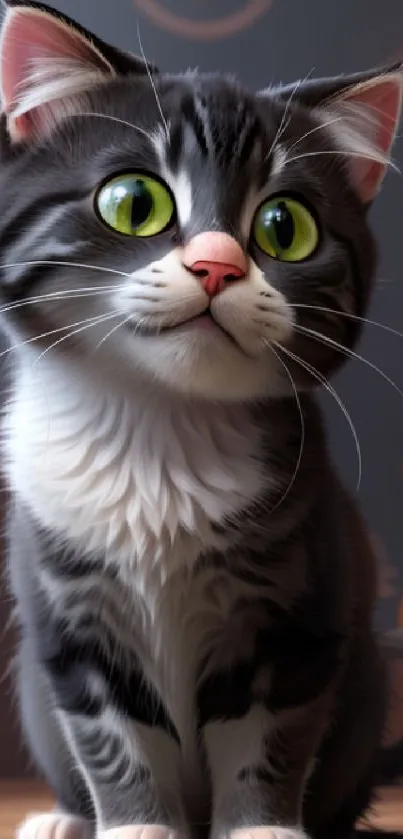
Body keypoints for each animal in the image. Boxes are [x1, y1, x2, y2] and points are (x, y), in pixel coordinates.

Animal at [1, 1, 402, 839]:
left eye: (283, 225)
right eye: (133, 202)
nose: (215, 265)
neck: (159, 429)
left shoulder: (298, 606)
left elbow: (271, 733)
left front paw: (262, 826)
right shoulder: (68, 608)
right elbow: (111, 732)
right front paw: (136, 824)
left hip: (369, 684)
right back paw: (62, 816)